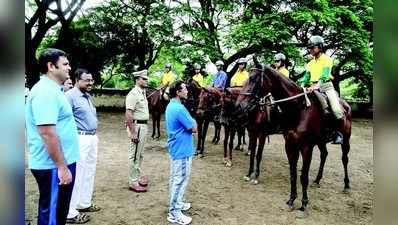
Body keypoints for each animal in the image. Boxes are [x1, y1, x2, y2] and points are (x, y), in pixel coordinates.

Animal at [236, 64, 352, 216]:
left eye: (253, 79)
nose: (239, 105)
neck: (299, 110)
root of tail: (346, 105)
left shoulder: (304, 146)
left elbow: (303, 176)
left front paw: (303, 204)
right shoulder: (288, 145)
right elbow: (292, 173)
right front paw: (291, 200)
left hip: (346, 139)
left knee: (344, 159)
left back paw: (346, 185)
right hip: (321, 141)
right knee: (324, 154)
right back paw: (317, 180)